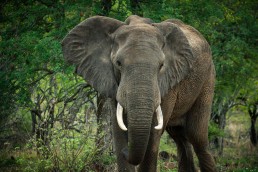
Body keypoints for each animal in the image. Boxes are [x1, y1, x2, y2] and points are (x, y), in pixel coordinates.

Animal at [62, 15, 216, 171]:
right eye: (118, 63)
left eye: (161, 66)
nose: (126, 151)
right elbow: (118, 130)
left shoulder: (169, 82)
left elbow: (153, 134)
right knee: (180, 137)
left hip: (208, 80)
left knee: (197, 137)